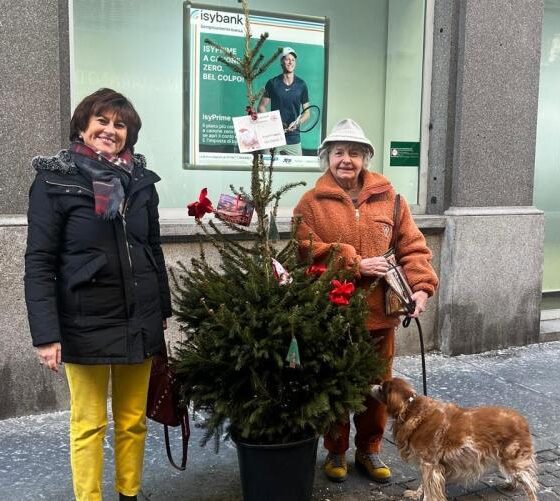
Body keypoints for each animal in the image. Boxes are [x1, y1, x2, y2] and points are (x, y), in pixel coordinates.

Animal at [372, 376, 540, 498]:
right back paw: (510, 484)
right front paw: (415, 494)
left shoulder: (429, 464)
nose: (372, 385)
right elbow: (424, 485)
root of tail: (522, 420)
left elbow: (429, 489)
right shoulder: (430, 465)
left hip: (514, 460)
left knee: (530, 485)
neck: (409, 408)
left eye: (381, 387)